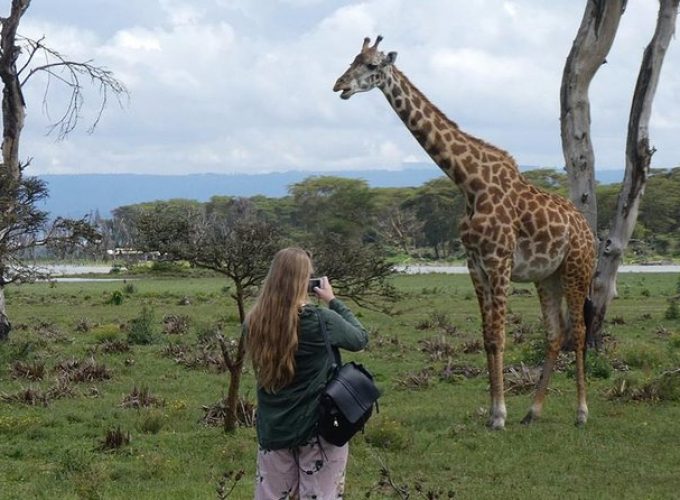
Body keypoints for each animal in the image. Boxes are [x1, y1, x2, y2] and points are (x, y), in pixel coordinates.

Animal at [334, 36, 596, 430]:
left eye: (372, 66)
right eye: (352, 60)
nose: (340, 86)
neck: (469, 183)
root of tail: (589, 230)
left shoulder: (499, 261)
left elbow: (500, 337)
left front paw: (499, 415)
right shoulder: (475, 265)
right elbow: (487, 338)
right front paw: (493, 412)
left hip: (577, 270)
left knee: (578, 331)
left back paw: (581, 412)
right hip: (546, 277)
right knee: (556, 333)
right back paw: (532, 411)